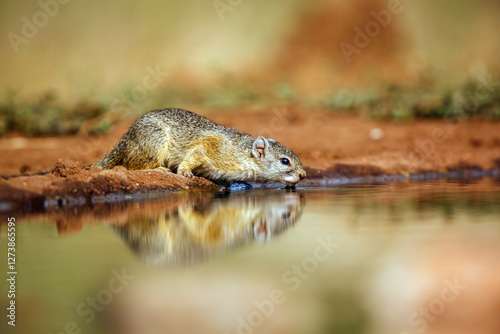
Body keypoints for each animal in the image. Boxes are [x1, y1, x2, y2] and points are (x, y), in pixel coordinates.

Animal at [93, 109, 304, 185]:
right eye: (285, 161)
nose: (303, 175)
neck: (244, 154)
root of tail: (126, 139)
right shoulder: (213, 147)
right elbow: (194, 155)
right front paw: (185, 172)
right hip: (154, 141)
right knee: (133, 165)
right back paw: (160, 168)